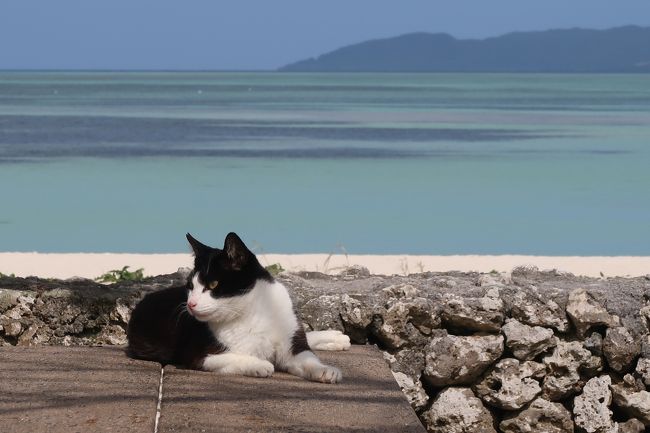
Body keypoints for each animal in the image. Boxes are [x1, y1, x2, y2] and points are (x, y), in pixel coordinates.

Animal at [126, 231, 350, 384]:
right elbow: (238, 357)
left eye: (213, 284)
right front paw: (261, 364)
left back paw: (335, 337)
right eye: (190, 286)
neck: (252, 312)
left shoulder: (292, 347)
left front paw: (325, 370)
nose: (190, 304)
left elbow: (308, 357)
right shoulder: (198, 354)